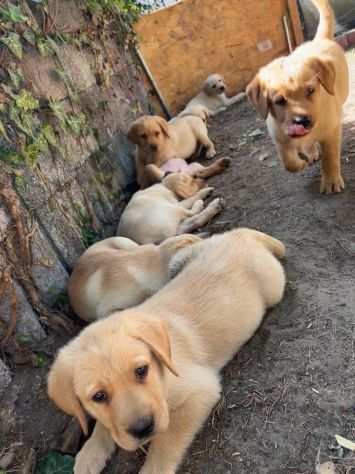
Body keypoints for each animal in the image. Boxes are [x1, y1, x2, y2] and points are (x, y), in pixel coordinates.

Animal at [246, 0, 350, 194]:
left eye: (310, 90)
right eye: (279, 101)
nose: (302, 121)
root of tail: (318, 40)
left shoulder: (331, 132)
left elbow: (330, 157)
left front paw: (331, 180)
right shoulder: (279, 137)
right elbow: (288, 162)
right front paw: (299, 164)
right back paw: (311, 151)